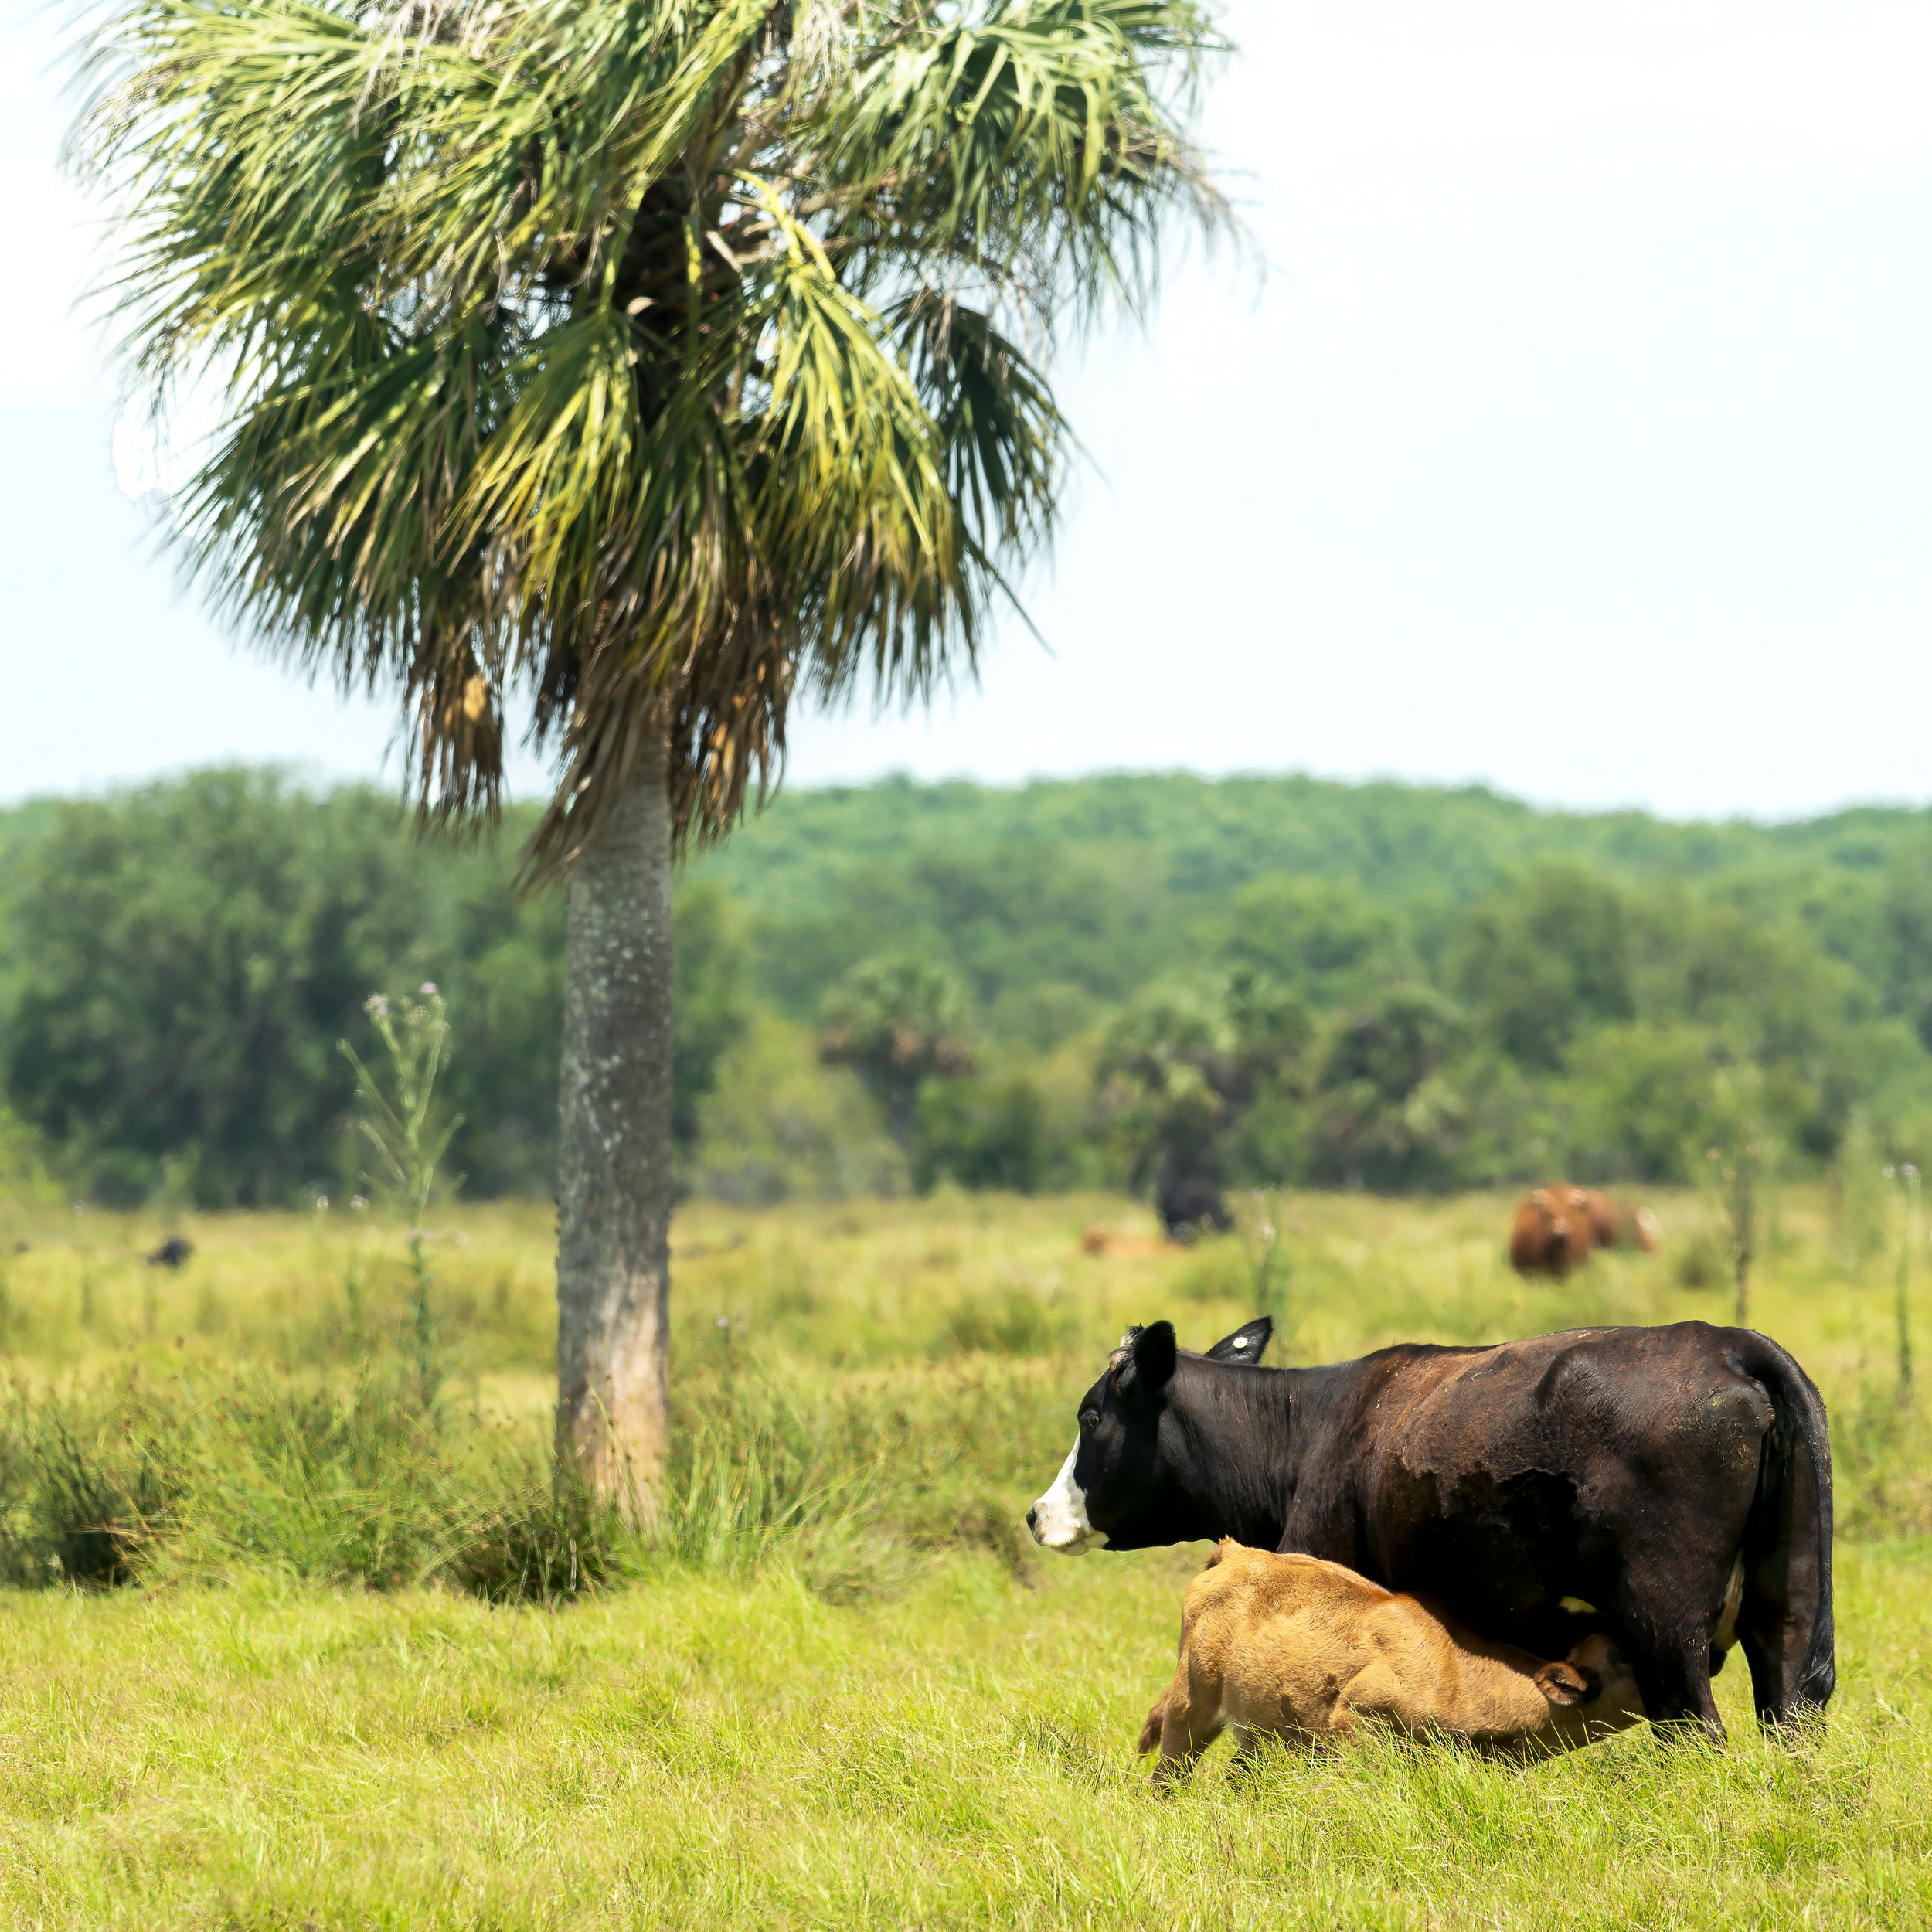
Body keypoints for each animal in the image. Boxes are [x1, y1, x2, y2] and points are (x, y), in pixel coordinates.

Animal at [1026, 1316, 1833, 1740]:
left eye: (1090, 1417)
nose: (1036, 1513)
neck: (1309, 1431)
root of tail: (1726, 1342)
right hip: (1786, 1613)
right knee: (1791, 1707)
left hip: (1667, 1622)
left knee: (1698, 1726)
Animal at [1139, 1539, 1648, 1783]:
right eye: (1624, 1655)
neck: (1457, 1674)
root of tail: (1238, 1552)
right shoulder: (1355, 1723)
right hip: (1191, 1706)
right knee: (1167, 1778)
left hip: (1260, 1728)